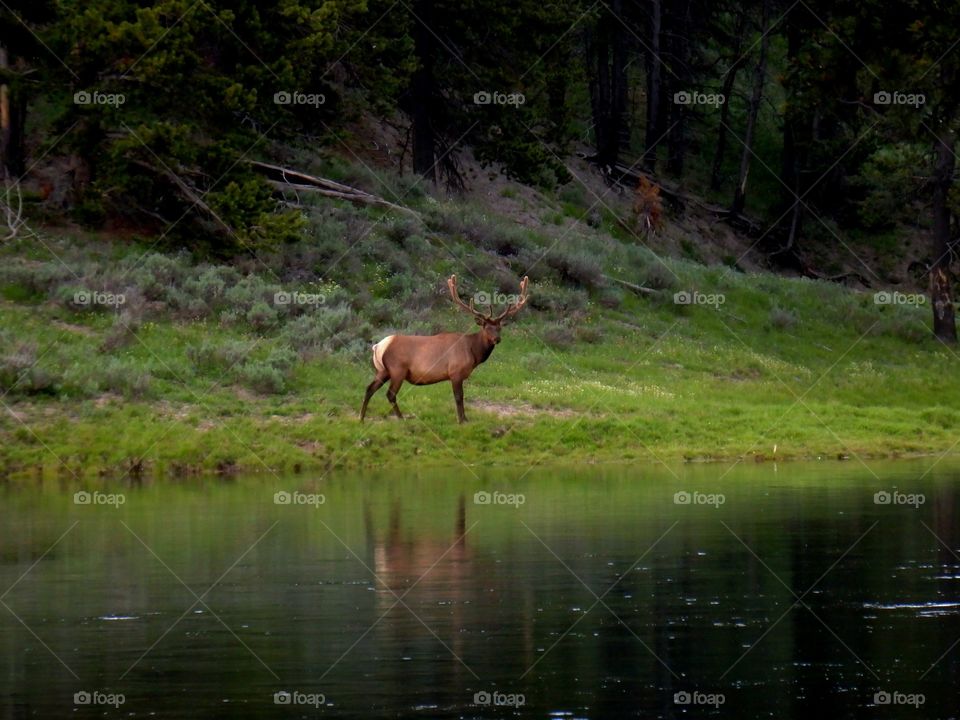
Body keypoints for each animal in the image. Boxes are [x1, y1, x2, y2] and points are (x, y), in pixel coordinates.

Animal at [360, 274, 528, 422]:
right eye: (486, 327)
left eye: (499, 327)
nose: (497, 339)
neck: (473, 352)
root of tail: (378, 346)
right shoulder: (455, 372)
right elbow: (459, 397)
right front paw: (462, 420)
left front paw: (464, 418)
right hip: (397, 369)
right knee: (390, 394)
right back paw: (401, 418)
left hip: (383, 370)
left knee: (369, 389)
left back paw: (361, 418)